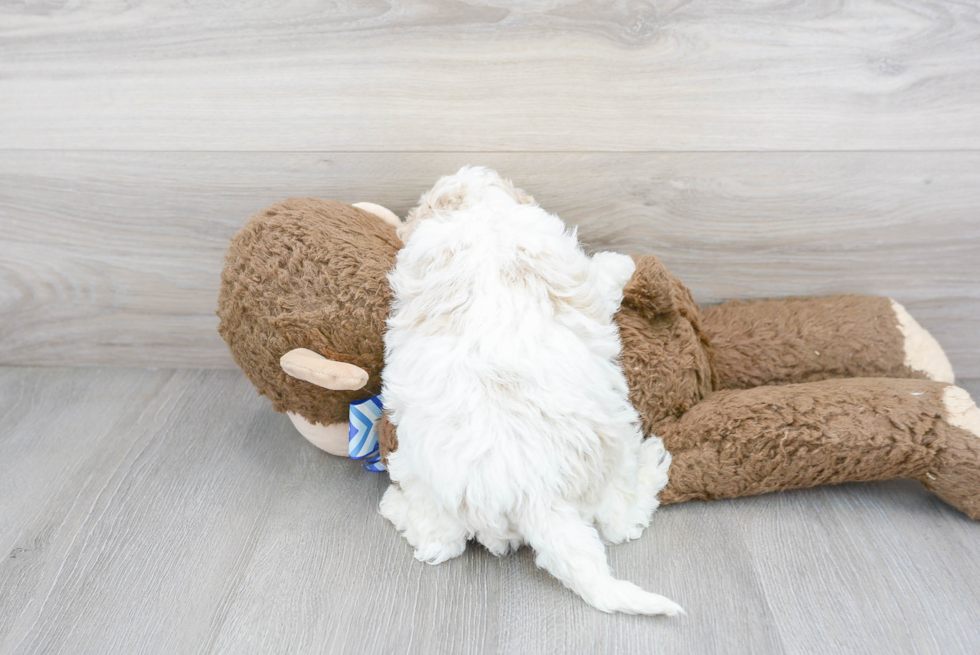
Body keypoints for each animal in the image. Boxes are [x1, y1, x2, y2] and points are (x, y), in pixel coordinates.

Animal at [378, 168, 676, 616]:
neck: (480, 212)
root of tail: (534, 492)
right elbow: (602, 276)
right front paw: (621, 262)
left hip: (425, 478)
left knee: (441, 543)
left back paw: (394, 506)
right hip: (613, 453)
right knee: (621, 521)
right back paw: (654, 461)